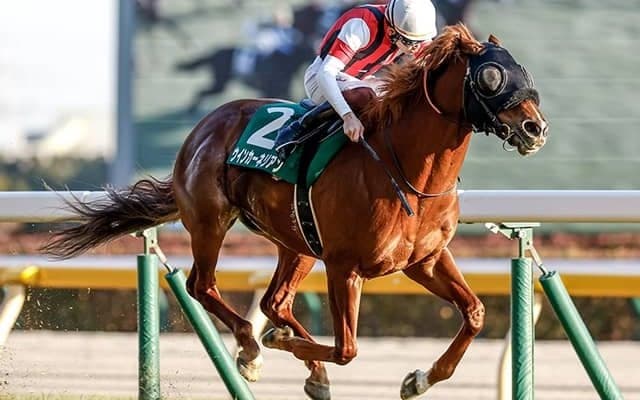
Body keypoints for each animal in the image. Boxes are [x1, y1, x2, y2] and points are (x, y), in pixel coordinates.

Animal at [43, 24, 548, 400]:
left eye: (521, 69)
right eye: (490, 77)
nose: (534, 128)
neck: (407, 170)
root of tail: (202, 128)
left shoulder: (423, 260)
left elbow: (474, 313)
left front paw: (418, 380)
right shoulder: (345, 267)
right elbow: (347, 349)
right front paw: (276, 343)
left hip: (298, 242)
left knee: (275, 301)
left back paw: (299, 362)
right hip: (209, 221)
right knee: (202, 285)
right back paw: (252, 348)